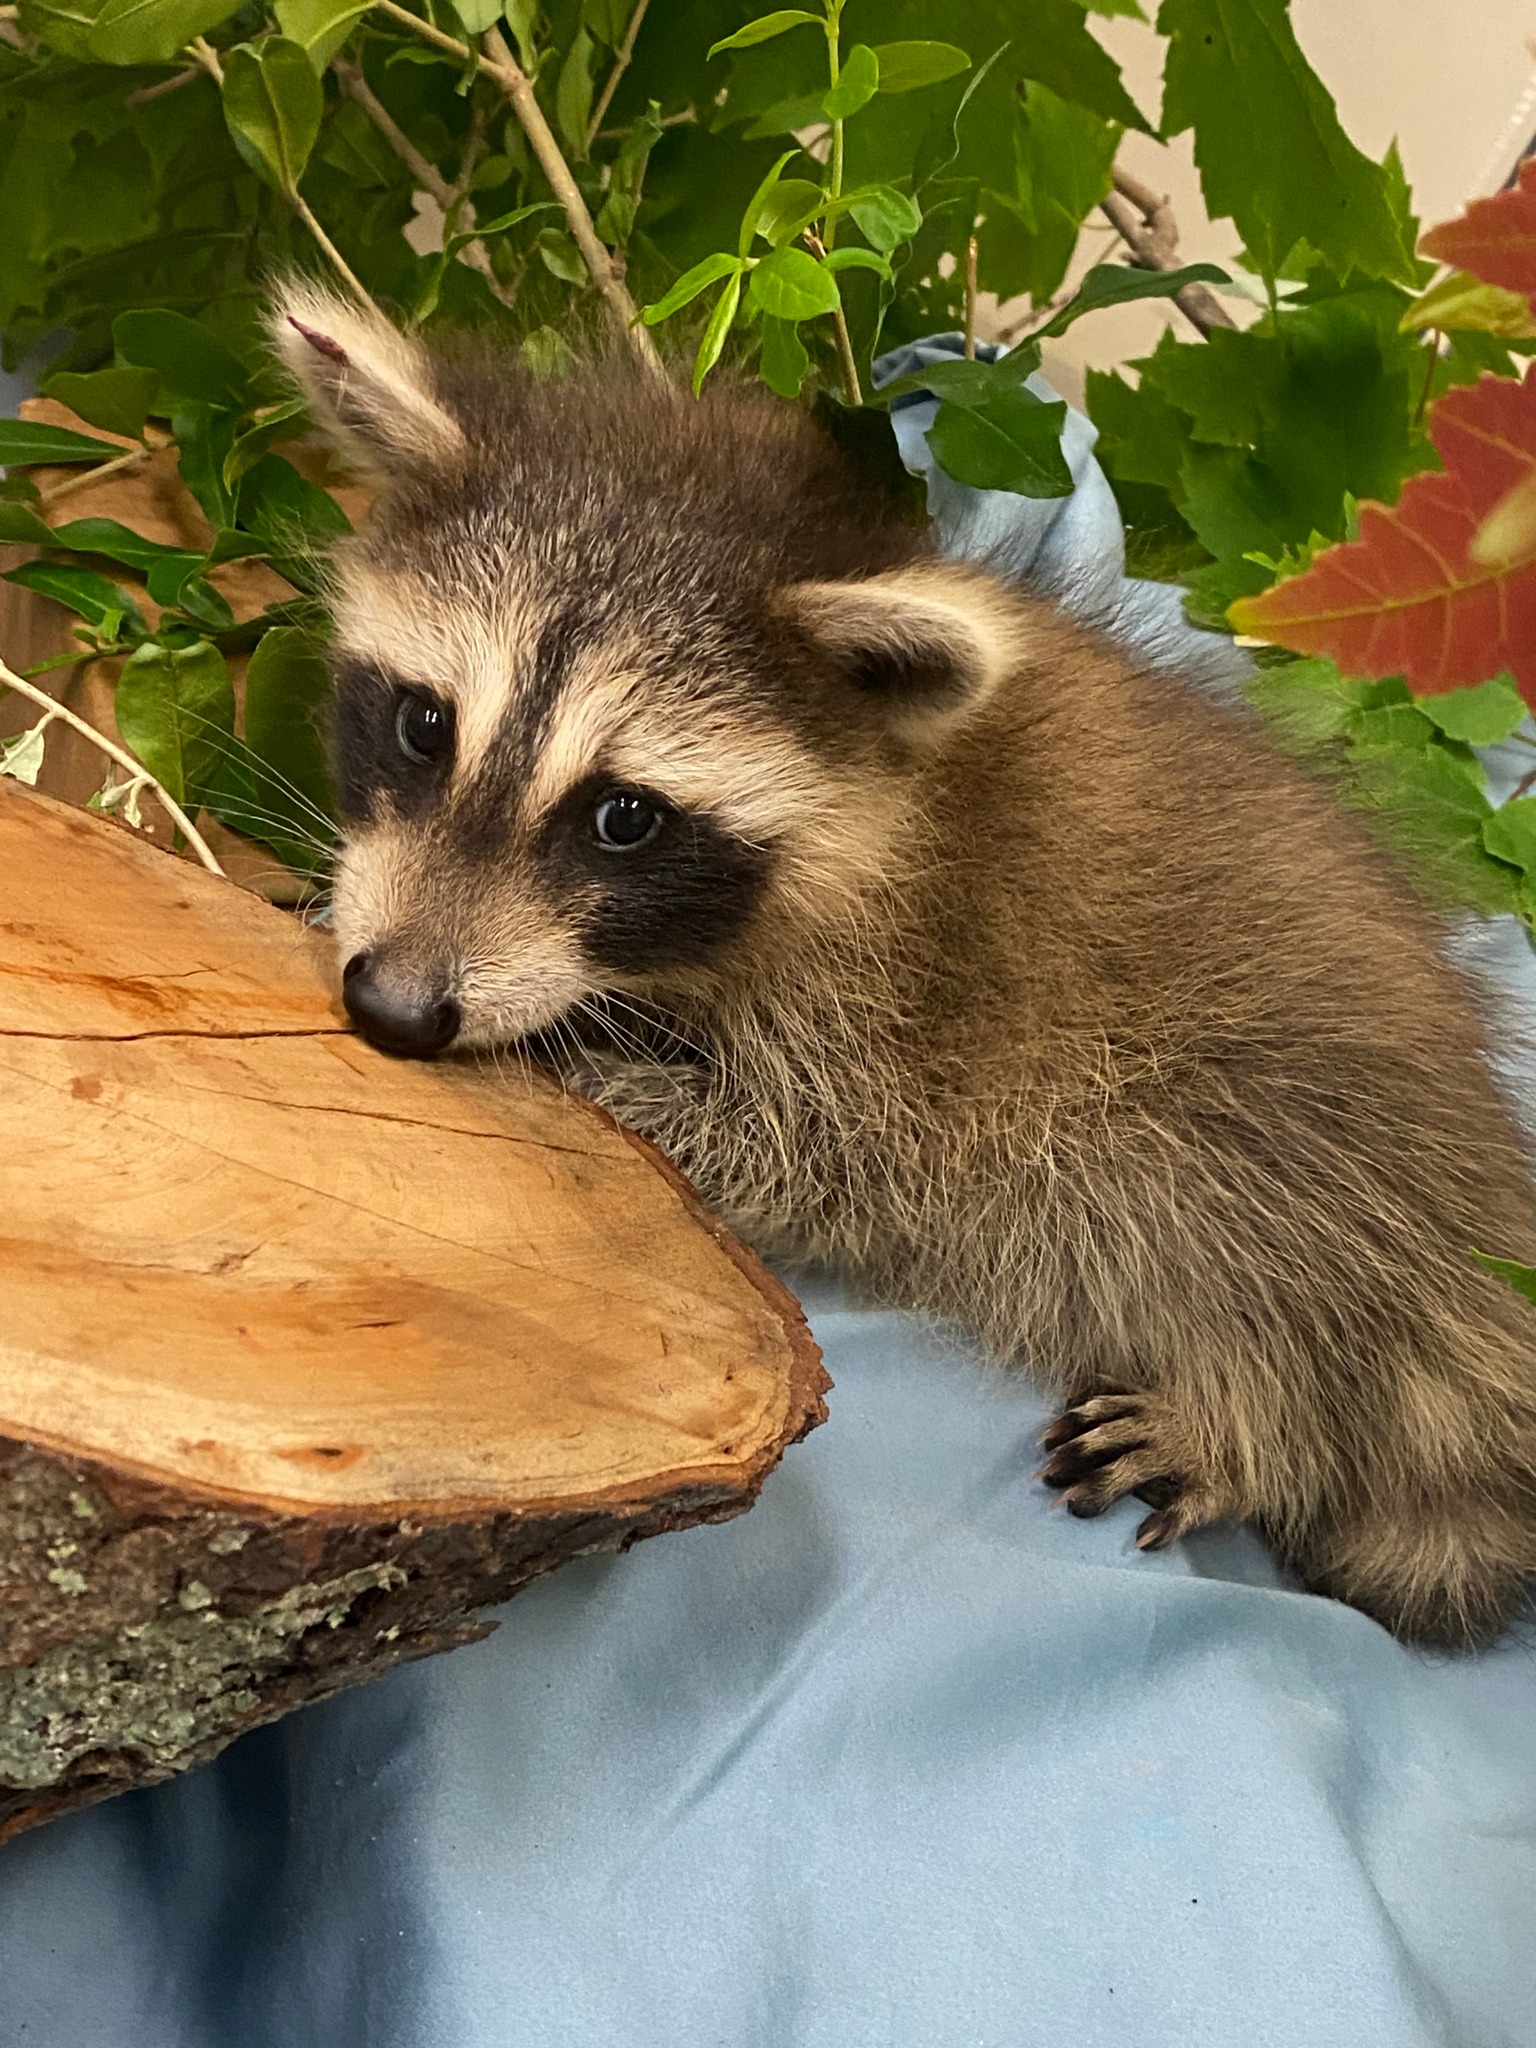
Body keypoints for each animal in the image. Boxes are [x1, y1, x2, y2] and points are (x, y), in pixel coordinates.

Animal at [273, 282, 1536, 1647]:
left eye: (623, 816)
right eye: (424, 722)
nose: (395, 1007)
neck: (884, 806)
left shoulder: (904, 1018)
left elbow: (809, 1154)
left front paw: (588, 1059)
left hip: (1294, 1123)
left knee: (1271, 1258)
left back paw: (1253, 1426)